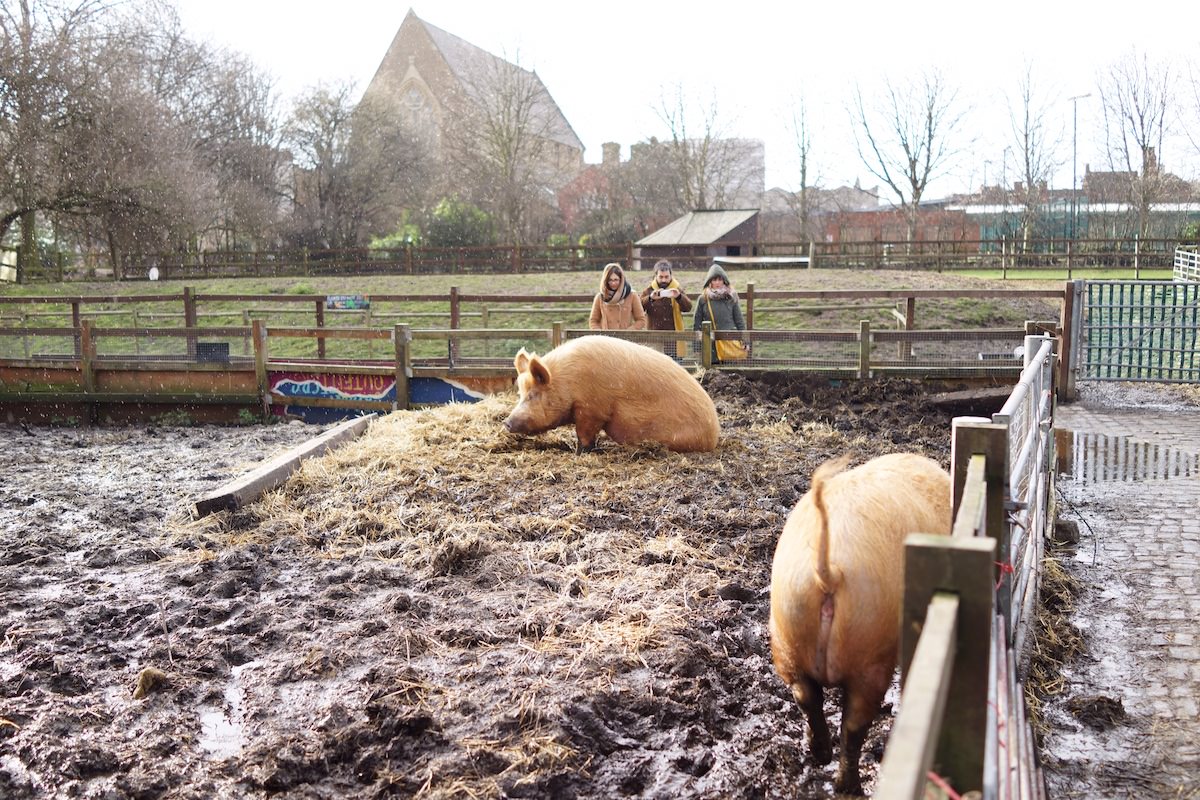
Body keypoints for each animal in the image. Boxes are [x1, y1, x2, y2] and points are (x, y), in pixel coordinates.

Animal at [501, 335, 715, 453]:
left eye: (533, 395)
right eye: (520, 393)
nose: (506, 422)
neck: (567, 381)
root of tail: (715, 434)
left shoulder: (592, 408)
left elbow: (584, 434)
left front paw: (581, 453)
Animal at [768, 450, 955, 796]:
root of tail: (829, 570)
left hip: (786, 630)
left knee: (806, 697)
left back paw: (820, 756)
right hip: (872, 652)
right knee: (854, 725)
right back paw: (850, 787)